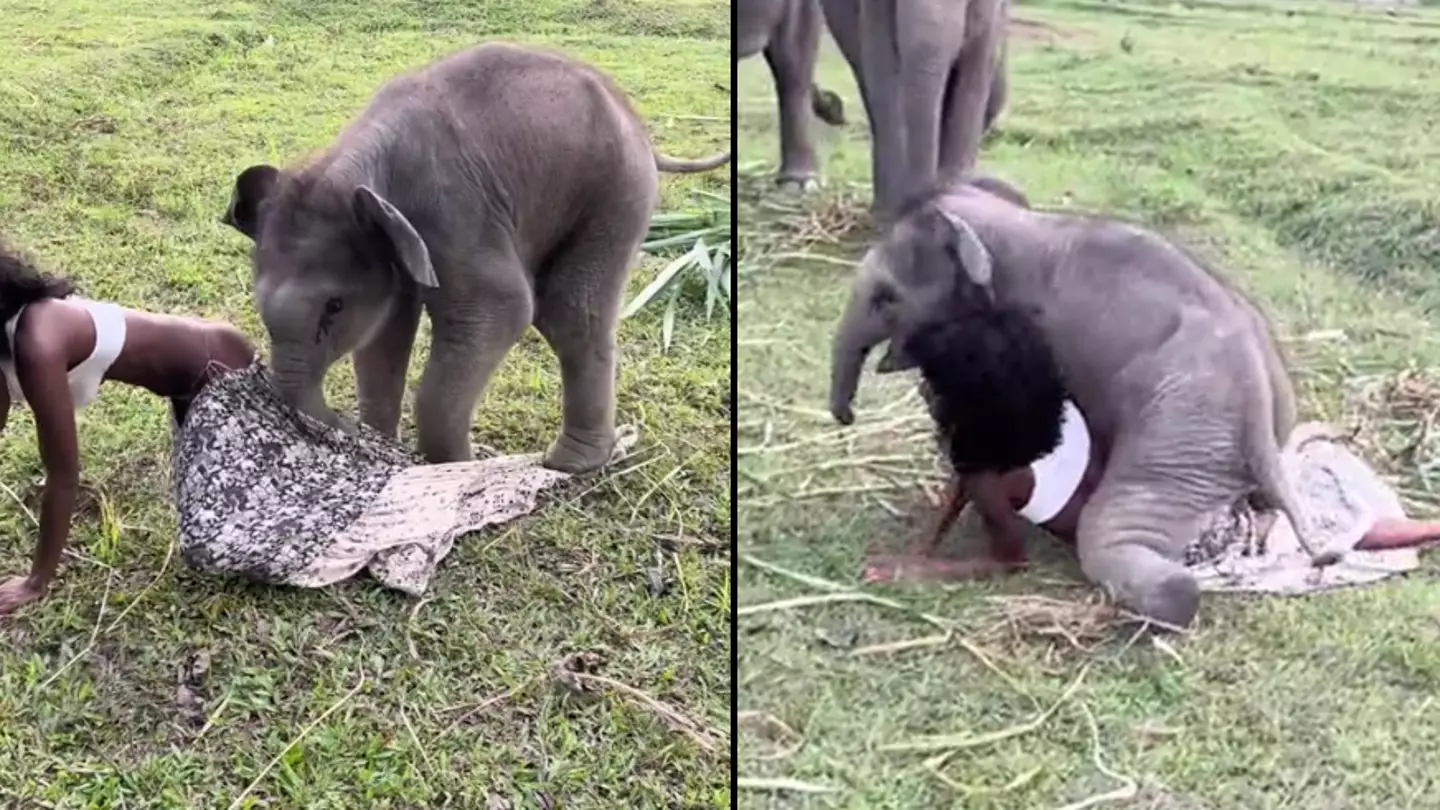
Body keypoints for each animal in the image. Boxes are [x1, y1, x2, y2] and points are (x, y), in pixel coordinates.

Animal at [221, 44, 731, 469]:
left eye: (334, 306)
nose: (343, 427)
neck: (358, 161)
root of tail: (637, 121)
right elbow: (386, 333)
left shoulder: (453, 212)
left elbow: (500, 309)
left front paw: (459, 467)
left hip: (616, 194)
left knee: (568, 313)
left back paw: (567, 465)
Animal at [835, 181, 1336, 625]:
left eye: (886, 298)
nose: (846, 415)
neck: (1020, 222)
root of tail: (1261, 423)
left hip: (1181, 442)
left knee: (1105, 534)